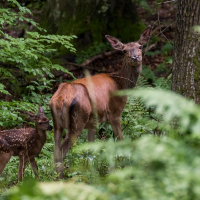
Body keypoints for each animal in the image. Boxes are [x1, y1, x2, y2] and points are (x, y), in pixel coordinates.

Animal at [49, 25, 151, 178]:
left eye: (140, 46)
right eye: (124, 50)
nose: (135, 57)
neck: (120, 84)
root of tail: (59, 99)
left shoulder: (92, 123)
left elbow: (91, 151)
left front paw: (91, 174)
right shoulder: (115, 112)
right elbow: (121, 141)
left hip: (57, 124)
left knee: (55, 152)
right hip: (78, 119)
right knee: (61, 152)